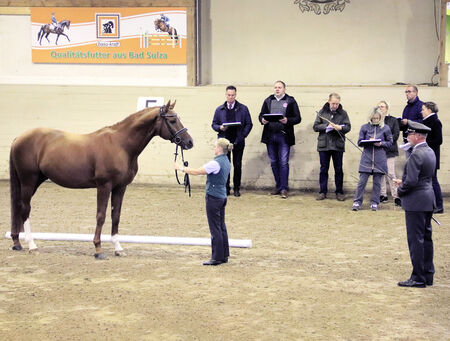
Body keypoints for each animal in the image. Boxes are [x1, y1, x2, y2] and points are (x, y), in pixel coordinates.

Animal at [10, 100, 193, 258]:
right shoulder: (104, 186)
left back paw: (17, 243)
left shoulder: (120, 187)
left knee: (18, 207)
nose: (189, 142)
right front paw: (98, 249)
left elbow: (116, 215)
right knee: (25, 209)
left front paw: (118, 248)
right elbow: (101, 215)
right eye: (172, 119)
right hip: (28, 180)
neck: (121, 145)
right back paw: (32, 245)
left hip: (35, 181)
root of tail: (19, 138)